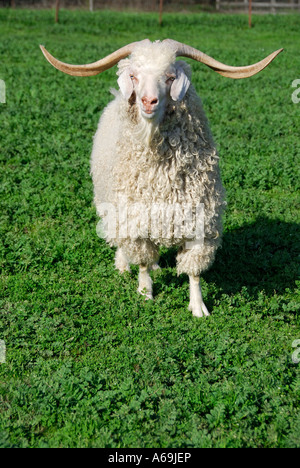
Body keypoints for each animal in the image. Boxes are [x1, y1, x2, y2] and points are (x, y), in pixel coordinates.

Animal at [39, 38, 282, 316]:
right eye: (134, 76)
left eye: (170, 77)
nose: (148, 101)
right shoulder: (135, 219)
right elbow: (142, 262)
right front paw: (146, 293)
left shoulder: (199, 219)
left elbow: (194, 271)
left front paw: (198, 307)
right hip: (110, 203)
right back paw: (123, 265)